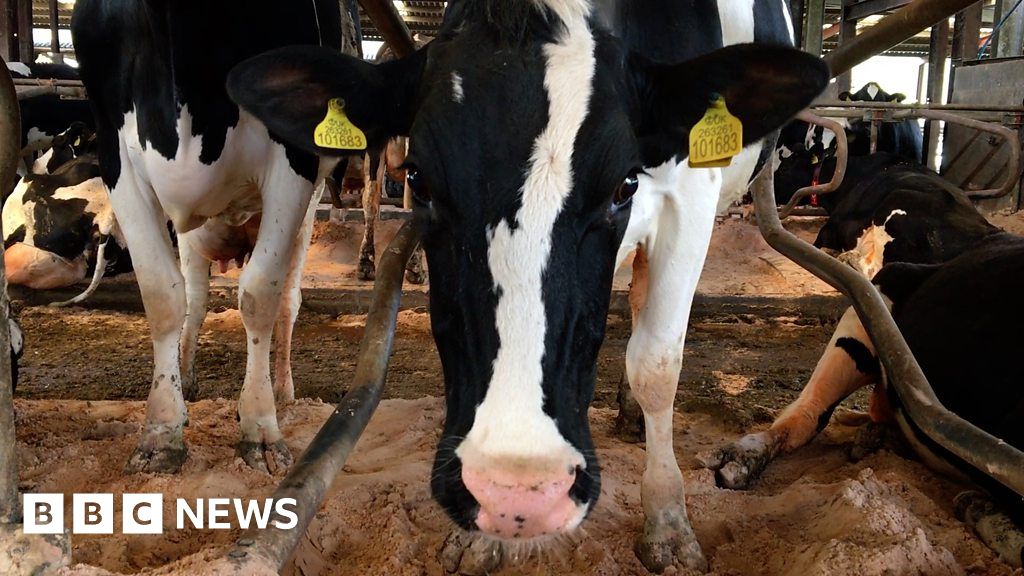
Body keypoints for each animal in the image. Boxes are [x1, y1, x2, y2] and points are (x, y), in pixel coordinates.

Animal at [228, 0, 827, 565]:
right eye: (420, 179)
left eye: (624, 184)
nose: (517, 495)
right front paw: (481, 544)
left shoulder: (692, 197)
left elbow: (657, 364)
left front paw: (668, 523)